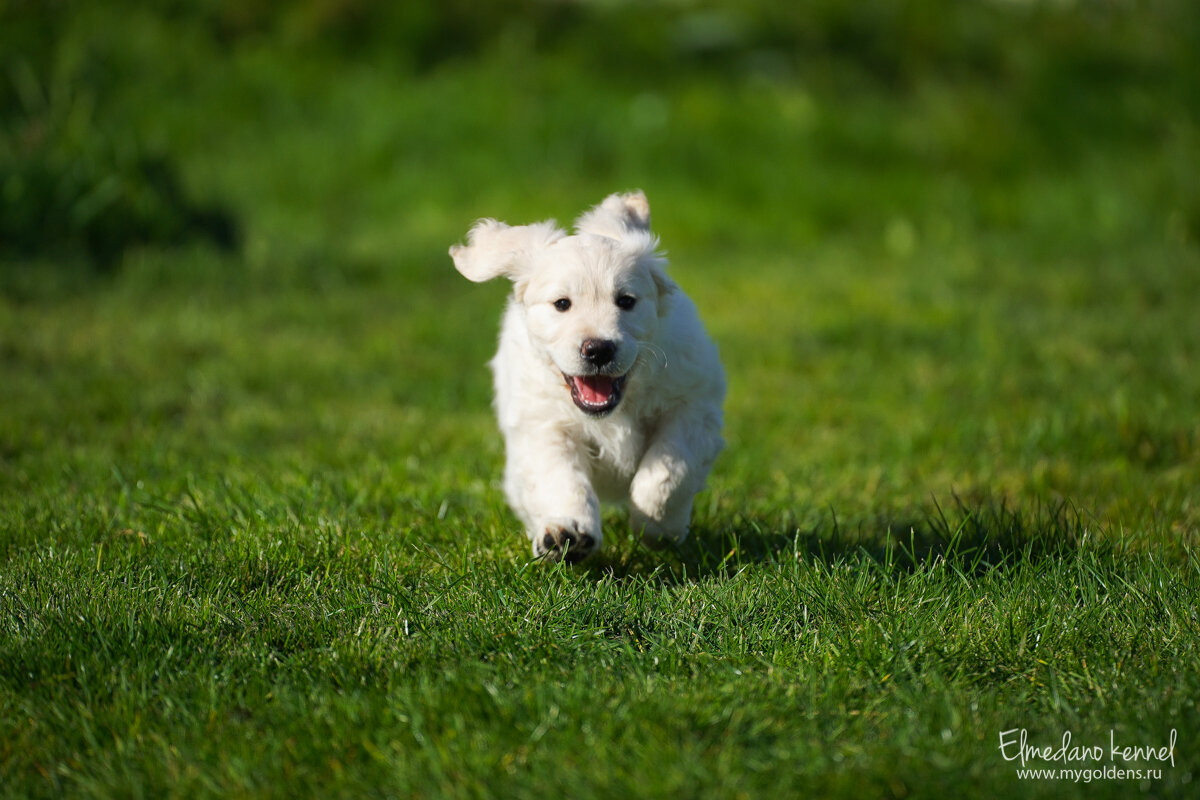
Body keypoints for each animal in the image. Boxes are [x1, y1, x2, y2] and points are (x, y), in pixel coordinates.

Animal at [451, 190, 724, 561]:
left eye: (626, 301)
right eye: (562, 304)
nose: (598, 349)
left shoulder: (693, 405)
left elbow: (667, 471)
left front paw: (659, 527)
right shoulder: (543, 424)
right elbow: (560, 479)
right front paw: (566, 532)